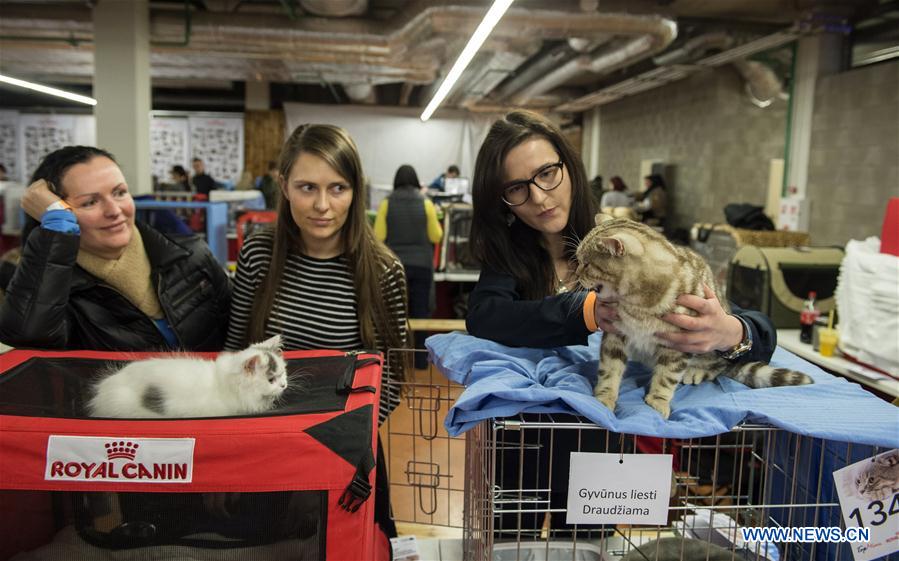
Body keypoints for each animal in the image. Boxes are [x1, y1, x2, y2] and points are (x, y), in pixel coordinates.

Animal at [576, 212, 816, 418]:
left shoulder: (678, 344)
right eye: (578, 260)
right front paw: (604, 397)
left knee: (719, 367)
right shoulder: (616, 334)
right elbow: (610, 369)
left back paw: (696, 372)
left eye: (586, 264)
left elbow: (667, 376)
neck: (638, 303)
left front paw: (658, 401)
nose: (576, 274)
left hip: (712, 349)